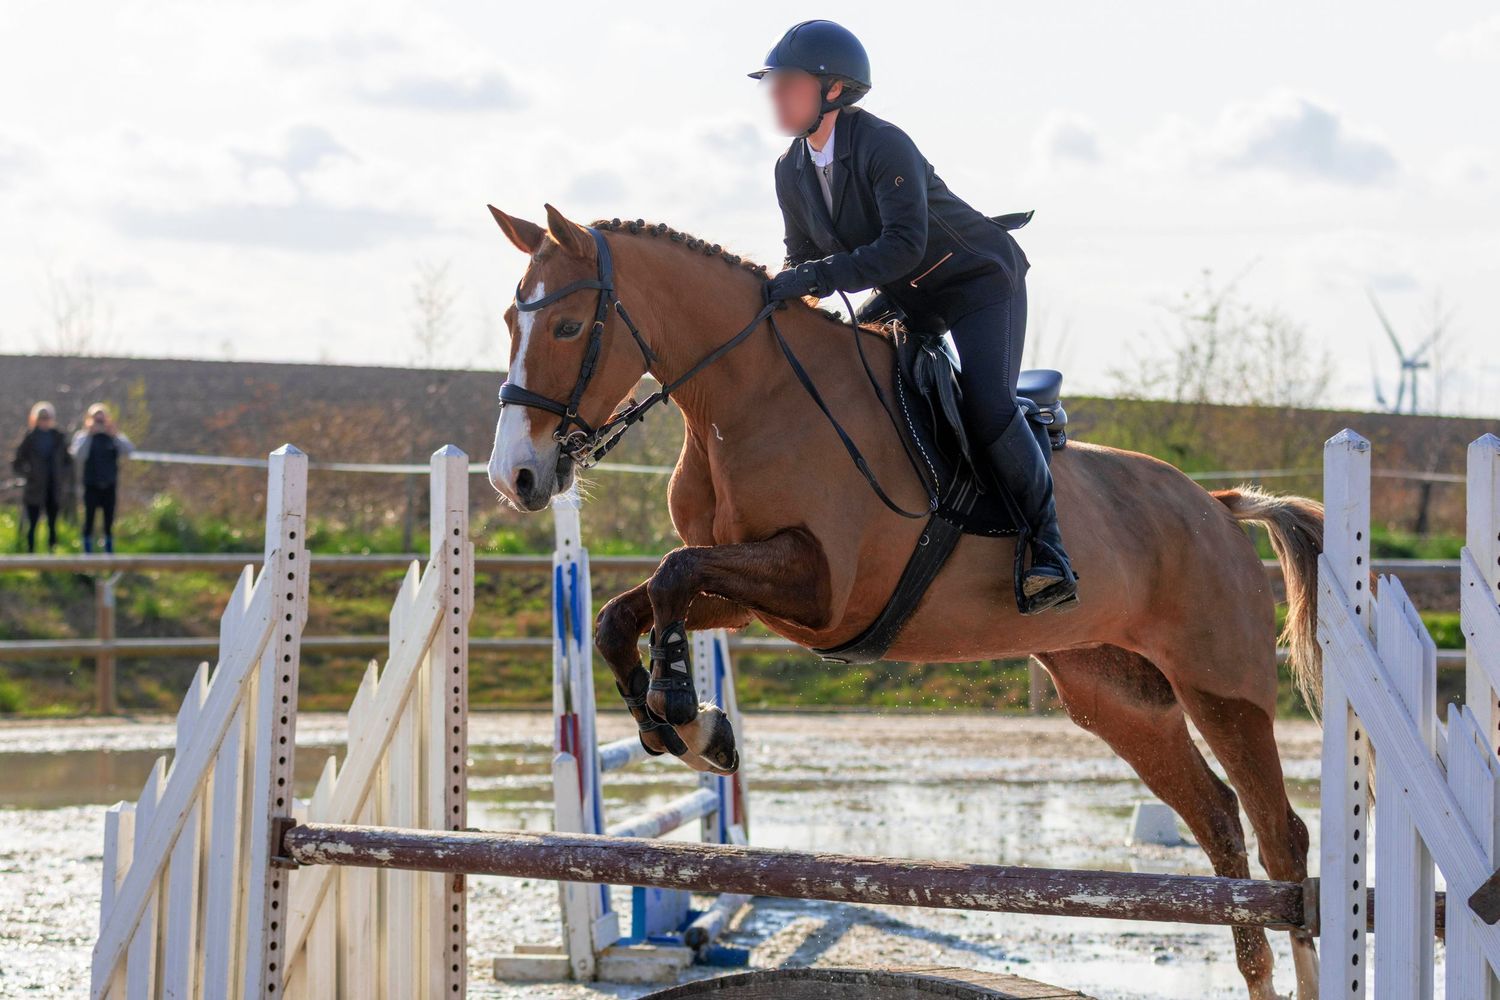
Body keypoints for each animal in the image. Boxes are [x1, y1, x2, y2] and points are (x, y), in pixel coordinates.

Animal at [484, 204, 1325, 1000]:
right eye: (509, 322)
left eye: (567, 324)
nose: (514, 477)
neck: (751, 396)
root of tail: (1218, 505)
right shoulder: (750, 600)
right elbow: (623, 612)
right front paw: (686, 728)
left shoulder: (820, 584)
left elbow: (670, 575)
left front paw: (686, 711)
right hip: (1117, 697)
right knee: (1218, 822)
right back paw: (1255, 973)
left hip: (1221, 688)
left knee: (1281, 837)